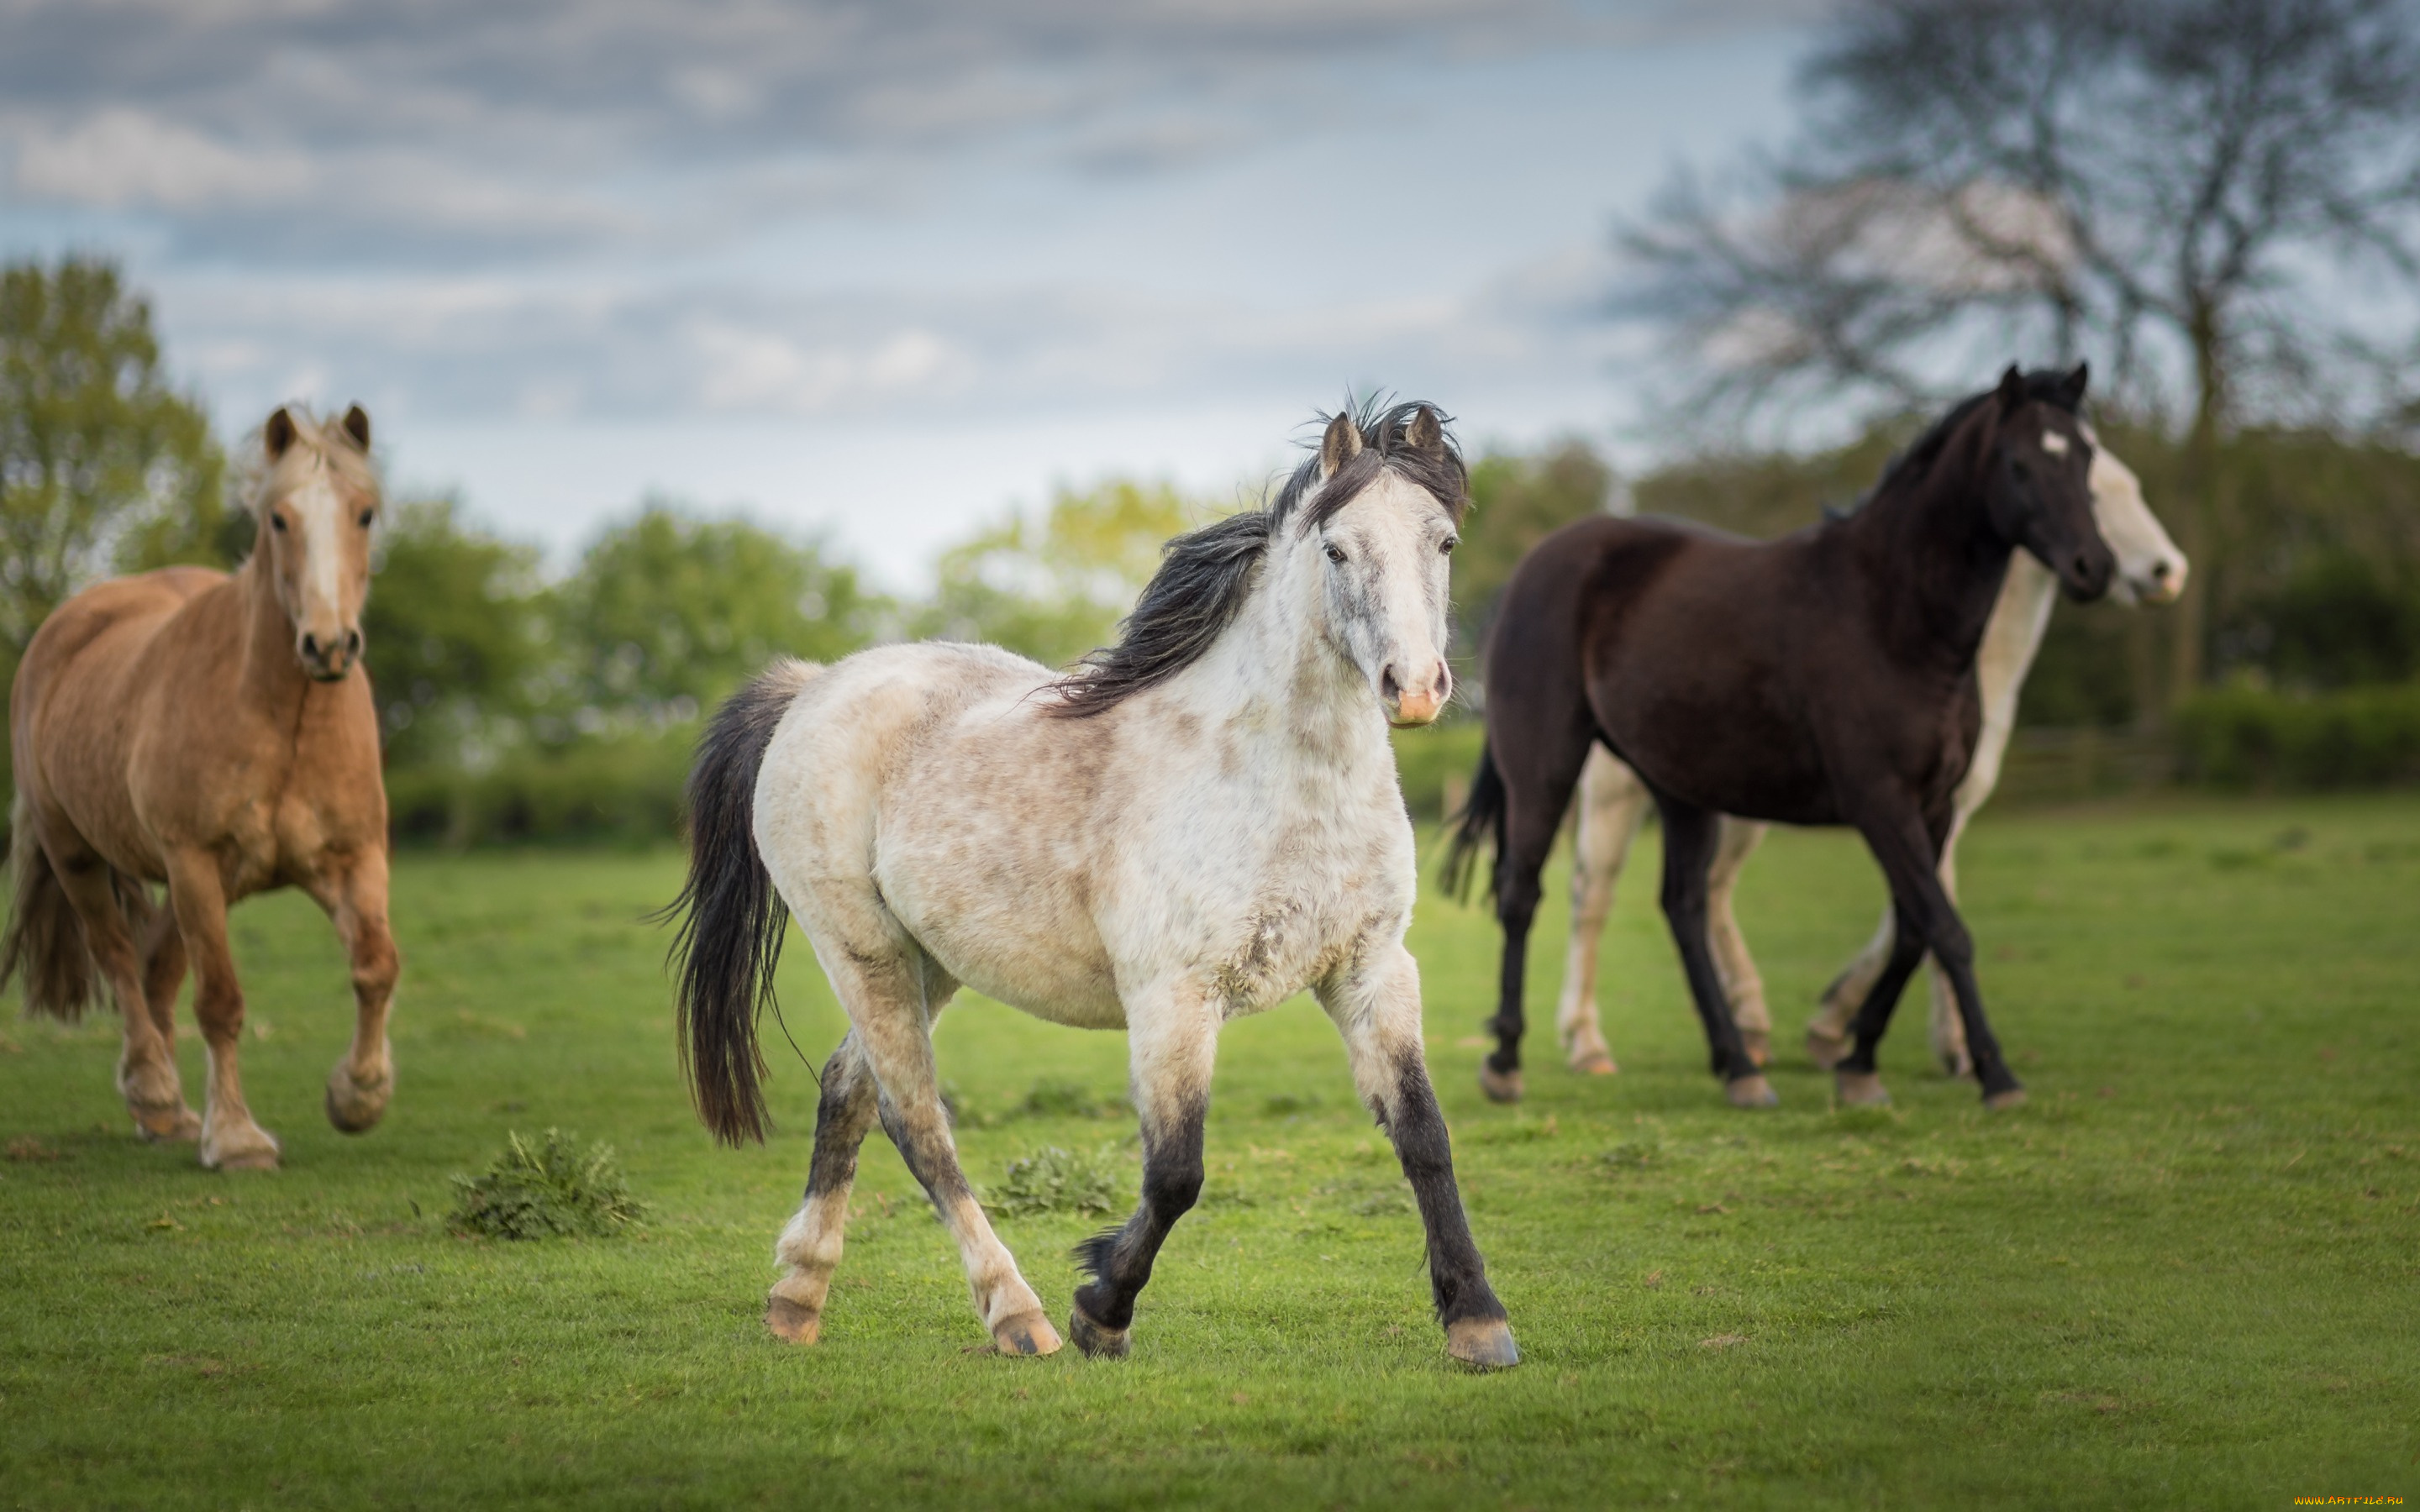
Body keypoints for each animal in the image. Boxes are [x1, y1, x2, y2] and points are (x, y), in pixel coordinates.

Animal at [2, 402, 397, 1166]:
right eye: (279, 519)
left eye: (364, 513)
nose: (329, 645)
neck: (286, 721)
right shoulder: (193, 861)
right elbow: (220, 1002)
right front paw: (238, 1138)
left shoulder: (354, 859)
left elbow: (375, 967)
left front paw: (357, 1096)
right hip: (86, 858)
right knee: (119, 957)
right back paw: (155, 1091)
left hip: (208, 884)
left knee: (155, 965)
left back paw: (167, 1112)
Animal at [663, 402, 1519, 1364]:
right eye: (1337, 550)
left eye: (1443, 542)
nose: (1414, 689)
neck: (1282, 784)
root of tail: (814, 688)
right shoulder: (1173, 997)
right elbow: (1177, 1172)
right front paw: (1101, 1310)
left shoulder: (1371, 972)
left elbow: (1424, 1137)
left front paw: (1479, 1319)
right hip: (863, 950)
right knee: (915, 1121)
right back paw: (1017, 1314)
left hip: (932, 962)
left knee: (848, 1092)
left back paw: (798, 1296)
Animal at [1442, 365, 2110, 1108]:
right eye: (2019, 463)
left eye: (2086, 456)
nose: (2095, 567)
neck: (1893, 616)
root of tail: (1533, 568)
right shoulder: (1882, 804)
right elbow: (1946, 930)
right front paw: (1995, 1074)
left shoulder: (1933, 807)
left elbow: (1913, 931)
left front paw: (1859, 1062)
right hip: (1546, 769)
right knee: (1522, 894)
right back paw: (1506, 1062)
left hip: (1679, 790)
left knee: (1683, 908)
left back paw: (1738, 1064)